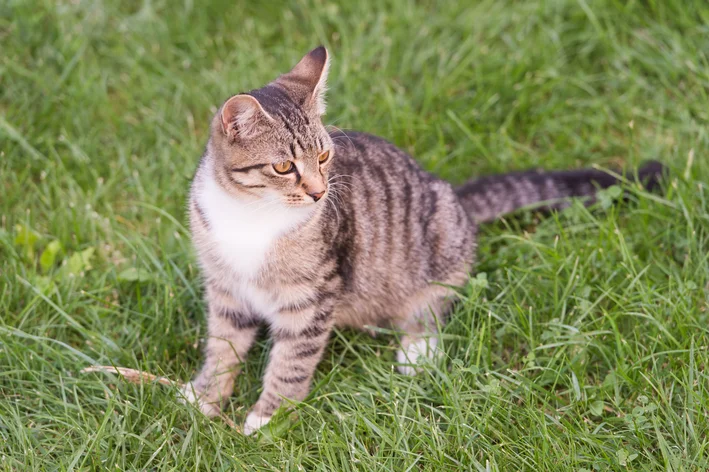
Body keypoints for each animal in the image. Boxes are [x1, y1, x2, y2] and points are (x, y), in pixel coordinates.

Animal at [184, 46, 664, 434]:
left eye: (323, 156)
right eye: (284, 167)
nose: (320, 192)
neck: (249, 215)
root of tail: (456, 197)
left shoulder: (313, 294)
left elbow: (292, 360)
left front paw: (270, 414)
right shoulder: (225, 287)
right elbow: (223, 344)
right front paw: (206, 393)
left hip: (438, 249)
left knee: (432, 306)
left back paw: (417, 348)